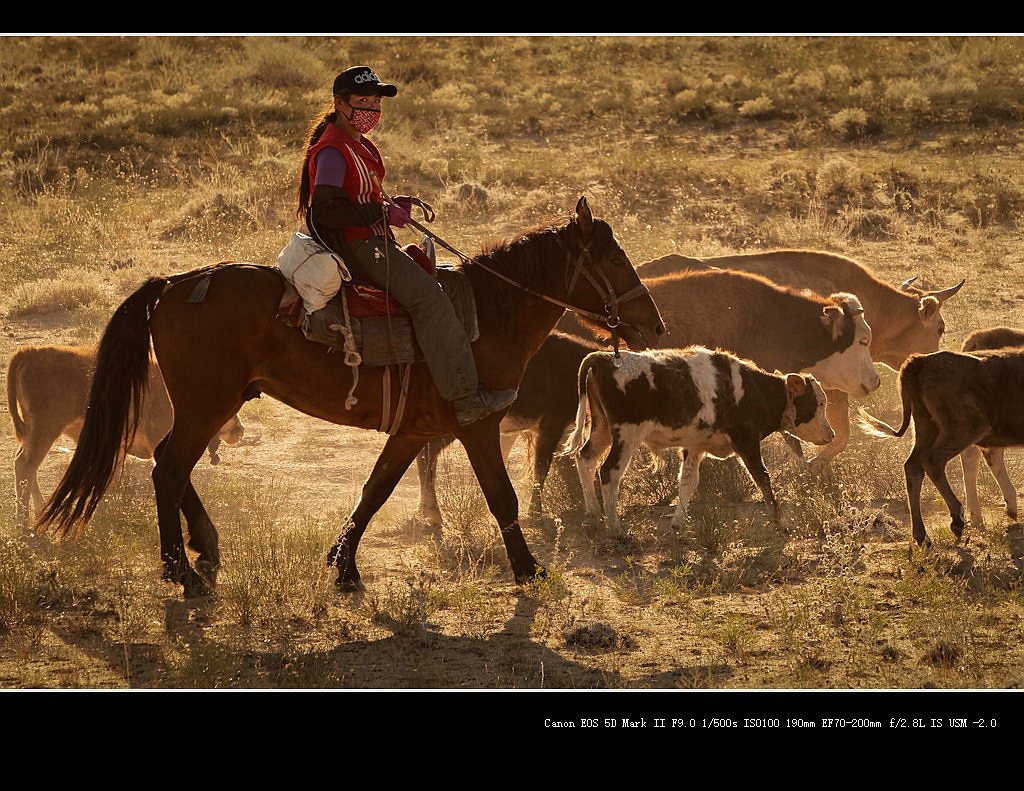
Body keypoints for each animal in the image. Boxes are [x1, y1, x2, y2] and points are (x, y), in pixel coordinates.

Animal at [9, 346, 243, 532]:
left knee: (28, 467)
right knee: (25, 466)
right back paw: (24, 524)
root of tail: (30, 353)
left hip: (35, 435)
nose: (239, 430)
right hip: (44, 431)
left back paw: (38, 512)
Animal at [36, 195, 663, 594]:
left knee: (172, 463)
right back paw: (181, 571)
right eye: (613, 258)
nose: (654, 325)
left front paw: (343, 565)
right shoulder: (476, 426)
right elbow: (503, 498)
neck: (485, 317)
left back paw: (204, 548)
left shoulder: (412, 430)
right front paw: (530, 570)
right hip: (206, 404)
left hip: (211, 404)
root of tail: (175, 285)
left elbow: (375, 490)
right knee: (168, 468)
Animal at [565, 344, 835, 532]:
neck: (752, 391)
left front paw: (678, 523)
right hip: (626, 434)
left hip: (601, 427)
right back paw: (614, 528)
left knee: (585, 458)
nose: (831, 434)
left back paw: (593, 515)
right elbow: (762, 477)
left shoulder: (696, 446)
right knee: (608, 472)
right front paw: (779, 521)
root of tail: (604, 358)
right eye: (820, 403)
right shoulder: (746, 440)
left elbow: (688, 482)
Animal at [860, 348, 1024, 545]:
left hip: (926, 429)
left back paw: (922, 536)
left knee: (913, 467)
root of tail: (920, 360)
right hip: (966, 429)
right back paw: (957, 519)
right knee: (932, 462)